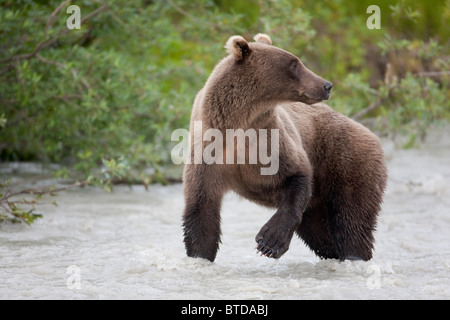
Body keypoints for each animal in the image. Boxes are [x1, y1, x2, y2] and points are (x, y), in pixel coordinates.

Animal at [182, 33, 386, 262]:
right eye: (294, 64)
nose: (327, 85)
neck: (239, 129)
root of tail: (371, 134)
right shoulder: (208, 159)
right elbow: (201, 215)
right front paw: (200, 255)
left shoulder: (273, 144)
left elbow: (297, 177)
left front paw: (269, 242)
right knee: (322, 233)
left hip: (347, 163)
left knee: (352, 220)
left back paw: (354, 254)